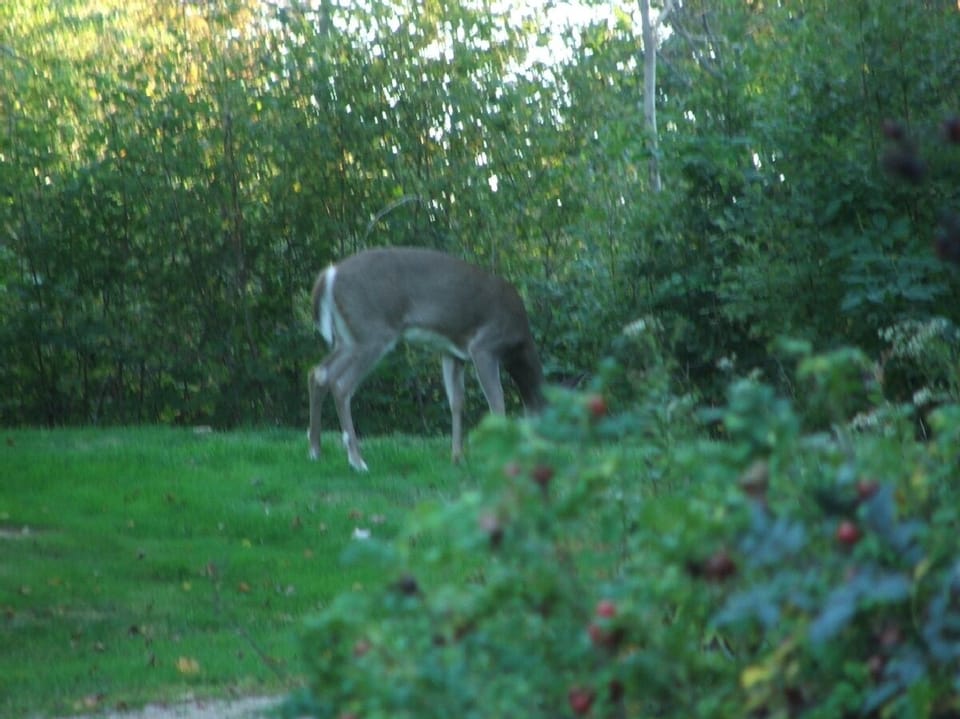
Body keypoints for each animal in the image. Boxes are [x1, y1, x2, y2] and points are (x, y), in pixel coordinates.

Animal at [307, 246, 545, 471]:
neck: (519, 345)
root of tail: (329, 275)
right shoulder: (484, 346)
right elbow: (497, 402)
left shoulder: (452, 353)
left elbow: (456, 402)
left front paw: (457, 457)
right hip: (371, 331)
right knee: (341, 384)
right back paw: (357, 461)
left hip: (347, 337)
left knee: (319, 373)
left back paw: (316, 450)